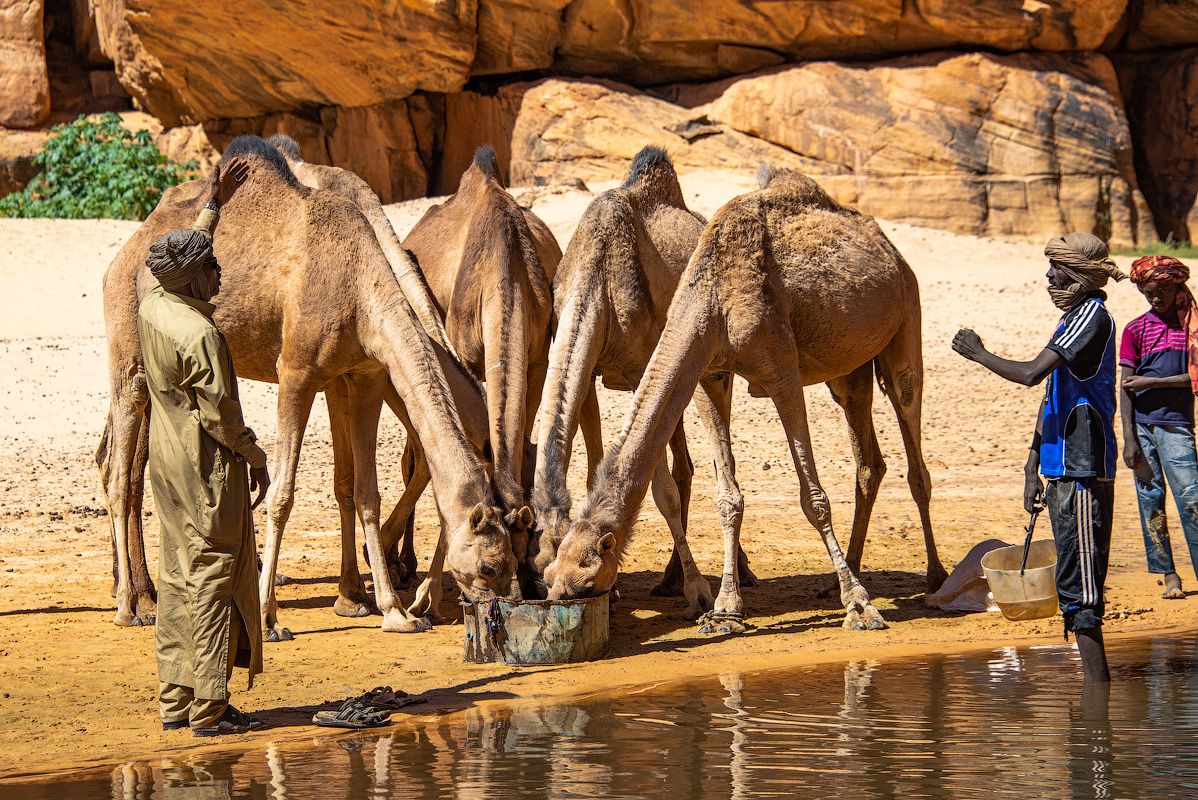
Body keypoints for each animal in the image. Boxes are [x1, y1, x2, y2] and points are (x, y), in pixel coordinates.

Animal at [97, 135, 519, 637]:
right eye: (491, 566)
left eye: (512, 559)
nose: (499, 611)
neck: (362, 285)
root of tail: (124, 255)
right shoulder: (296, 373)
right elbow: (281, 494)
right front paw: (268, 617)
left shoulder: (364, 375)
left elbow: (364, 492)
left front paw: (390, 611)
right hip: (129, 358)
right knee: (120, 473)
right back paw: (131, 604)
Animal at [402, 145, 560, 582]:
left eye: (526, 555)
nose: (527, 586)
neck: (505, 276)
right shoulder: (467, 359)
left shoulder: (536, 359)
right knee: (412, 456)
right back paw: (401, 562)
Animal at [529, 146, 752, 617]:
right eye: (541, 571)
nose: (547, 599)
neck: (596, 278)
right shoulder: (590, 371)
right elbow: (593, 460)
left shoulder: (637, 370)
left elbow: (662, 490)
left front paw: (698, 592)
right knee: (685, 460)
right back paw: (670, 579)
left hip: (713, 366)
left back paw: (733, 573)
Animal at [543, 165, 944, 632]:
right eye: (549, 575)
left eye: (587, 583)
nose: (555, 605)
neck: (713, 297)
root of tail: (889, 246)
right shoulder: (710, 370)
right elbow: (728, 499)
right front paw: (725, 608)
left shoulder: (781, 372)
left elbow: (814, 499)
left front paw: (859, 606)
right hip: (849, 370)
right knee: (869, 462)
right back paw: (839, 578)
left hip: (907, 317)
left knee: (911, 432)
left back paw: (935, 578)